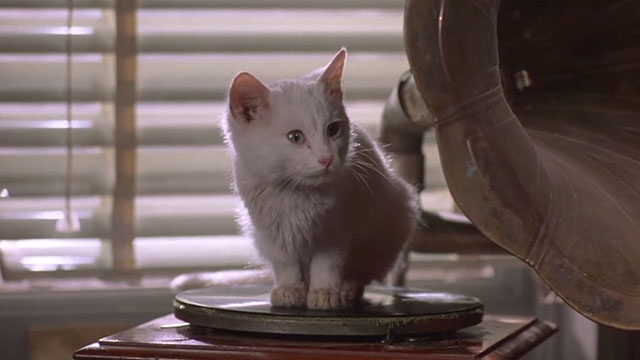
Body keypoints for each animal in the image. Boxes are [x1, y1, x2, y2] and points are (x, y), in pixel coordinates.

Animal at [222, 49, 418, 310]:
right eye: (295, 137)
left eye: (333, 129)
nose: (327, 158)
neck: (295, 193)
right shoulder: (273, 233)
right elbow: (285, 264)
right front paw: (290, 289)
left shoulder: (336, 230)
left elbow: (327, 264)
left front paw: (325, 292)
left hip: (389, 226)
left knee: (361, 272)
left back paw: (348, 289)